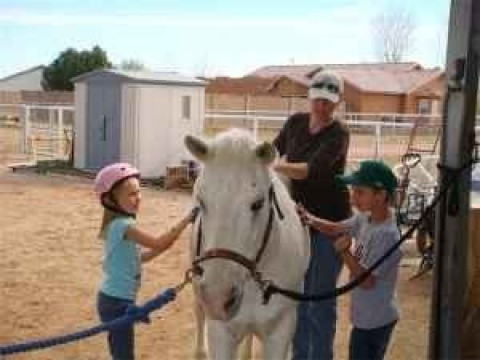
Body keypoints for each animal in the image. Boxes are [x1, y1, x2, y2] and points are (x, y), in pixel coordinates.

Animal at [186, 129, 310, 360]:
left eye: (258, 204)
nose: (218, 298)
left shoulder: (281, 331)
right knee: (199, 312)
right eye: (201, 201)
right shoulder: (221, 333)